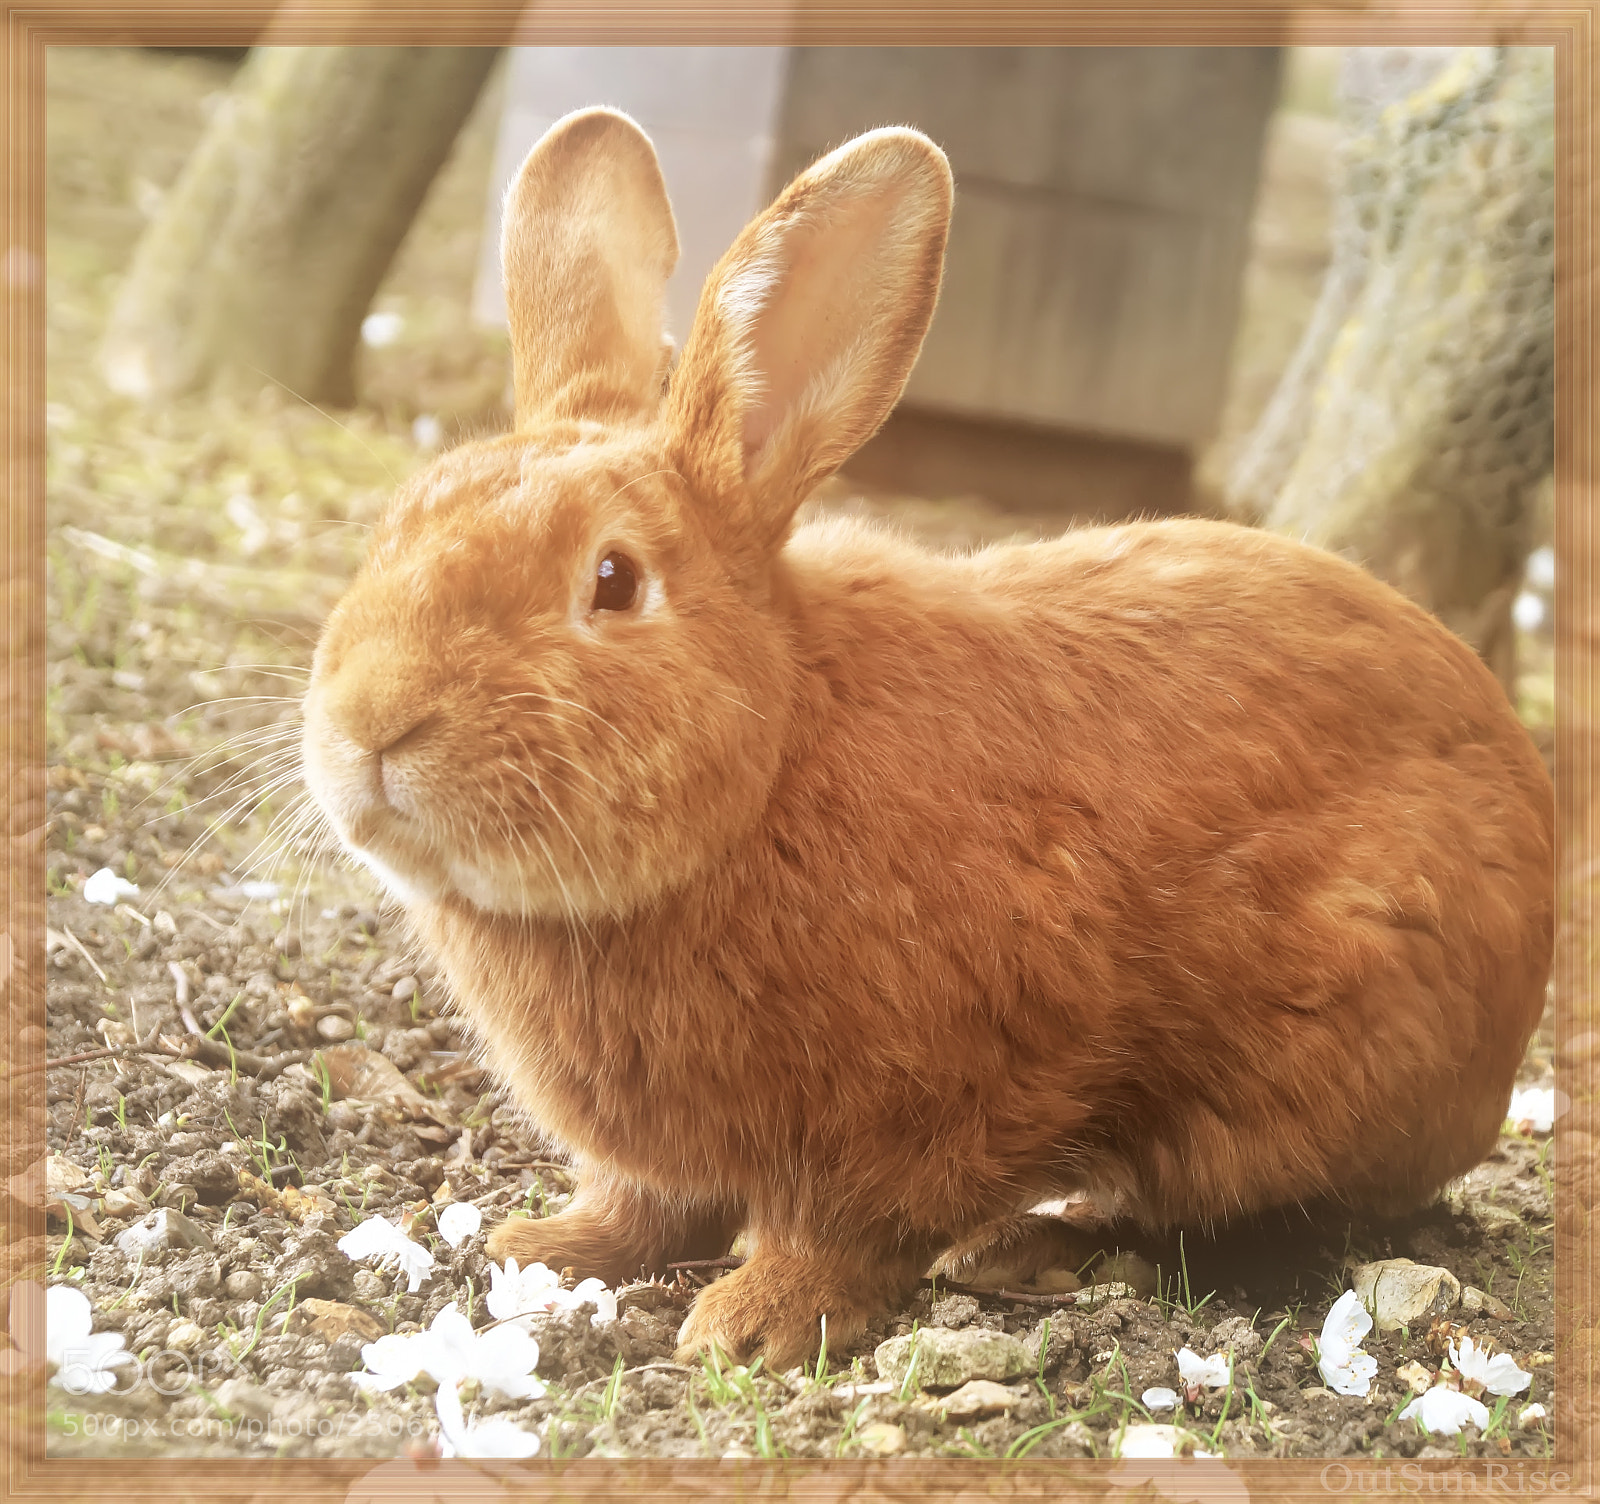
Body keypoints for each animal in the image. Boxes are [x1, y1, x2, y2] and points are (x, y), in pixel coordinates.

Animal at [300, 107, 1554, 1370]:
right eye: (397, 525)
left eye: (613, 581)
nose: (369, 725)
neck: (773, 765)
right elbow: (645, 1205)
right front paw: (547, 1247)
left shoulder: (923, 1102)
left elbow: (845, 1227)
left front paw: (753, 1323)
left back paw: (1032, 1243)